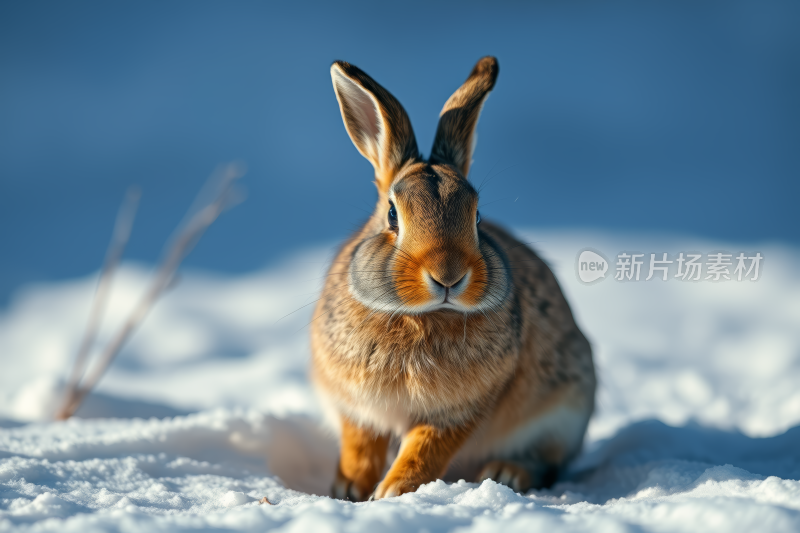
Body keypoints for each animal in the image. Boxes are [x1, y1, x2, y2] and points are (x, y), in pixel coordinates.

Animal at [310, 56, 592, 500]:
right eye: (392, 215)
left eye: (476, 217)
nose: (448, 276)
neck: (421, 316)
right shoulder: (357, 408)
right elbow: (360, 445)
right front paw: (349, 489)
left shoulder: (457, 411)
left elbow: (425, 448)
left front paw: (392, 491)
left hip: (563, 412)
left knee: (547, 463)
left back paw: (507, 473)